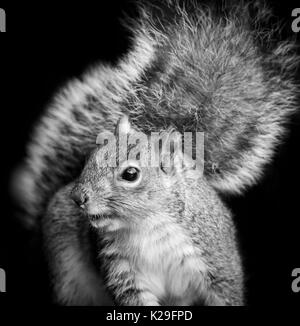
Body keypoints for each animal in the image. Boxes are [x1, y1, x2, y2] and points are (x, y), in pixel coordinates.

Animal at [14, 0, 300, 306]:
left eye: (130, 174)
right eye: (89, 158)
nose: (78, 197)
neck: (146, 226)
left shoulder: (216, 262)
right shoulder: (123, 272)